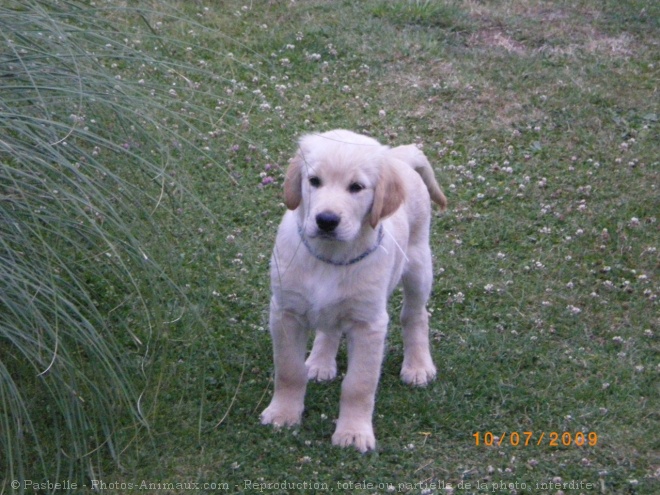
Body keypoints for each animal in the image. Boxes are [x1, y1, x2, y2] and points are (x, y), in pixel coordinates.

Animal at [260, 129, 446, 454]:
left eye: (357, 187)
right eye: (314, 181)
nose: (326, 220)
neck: (330, 257)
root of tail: (398, 158)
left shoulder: (369, 324)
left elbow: (359, 384)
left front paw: (353, 432)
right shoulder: (285, 312)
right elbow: (288, 369)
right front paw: (283, 413)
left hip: (419, 265)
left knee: (415, 316)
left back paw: (418, 365)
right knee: (329, 328)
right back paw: (320, 361)